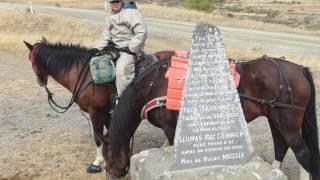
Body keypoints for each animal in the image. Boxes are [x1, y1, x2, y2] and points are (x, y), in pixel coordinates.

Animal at [24, 37, 117, 174]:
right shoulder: (106, 113)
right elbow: (109, 134)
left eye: (30, 59)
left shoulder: (96, 112)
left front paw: (97, 162)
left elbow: (98, 137)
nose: (40, 82)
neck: (87, 75)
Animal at [107, 55, 320, 179]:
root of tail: (299, 69)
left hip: (288, 124)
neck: (154, 85)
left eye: (107, 157)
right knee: (281, 146)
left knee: (303, 153)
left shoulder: (170, 127)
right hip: (275, 120)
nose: (110, 174)